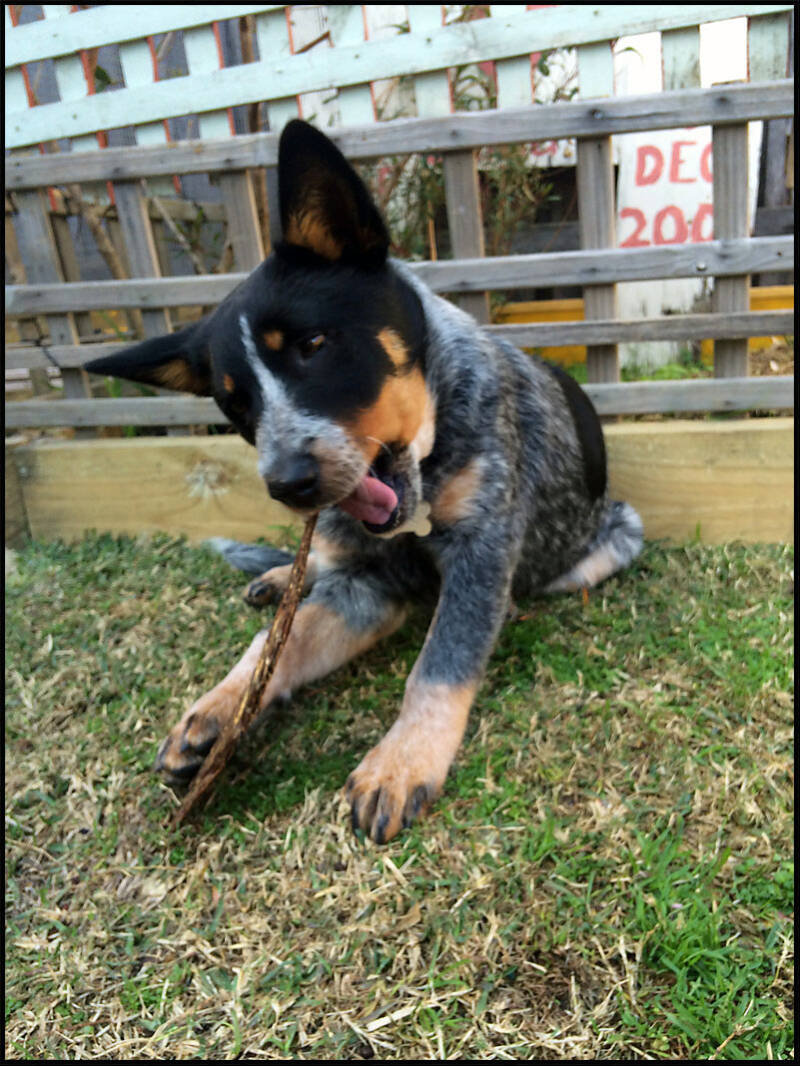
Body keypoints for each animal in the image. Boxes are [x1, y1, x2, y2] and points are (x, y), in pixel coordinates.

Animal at [85, 119, 643, 843]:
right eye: (235, 405)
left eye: (314, 345)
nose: (289, 484)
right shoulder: (364, 586)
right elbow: (279, 645)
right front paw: (219, 709)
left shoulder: (481, 554)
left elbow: (439, 665)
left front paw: (400, 763)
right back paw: (275, 579)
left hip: (616, 537)